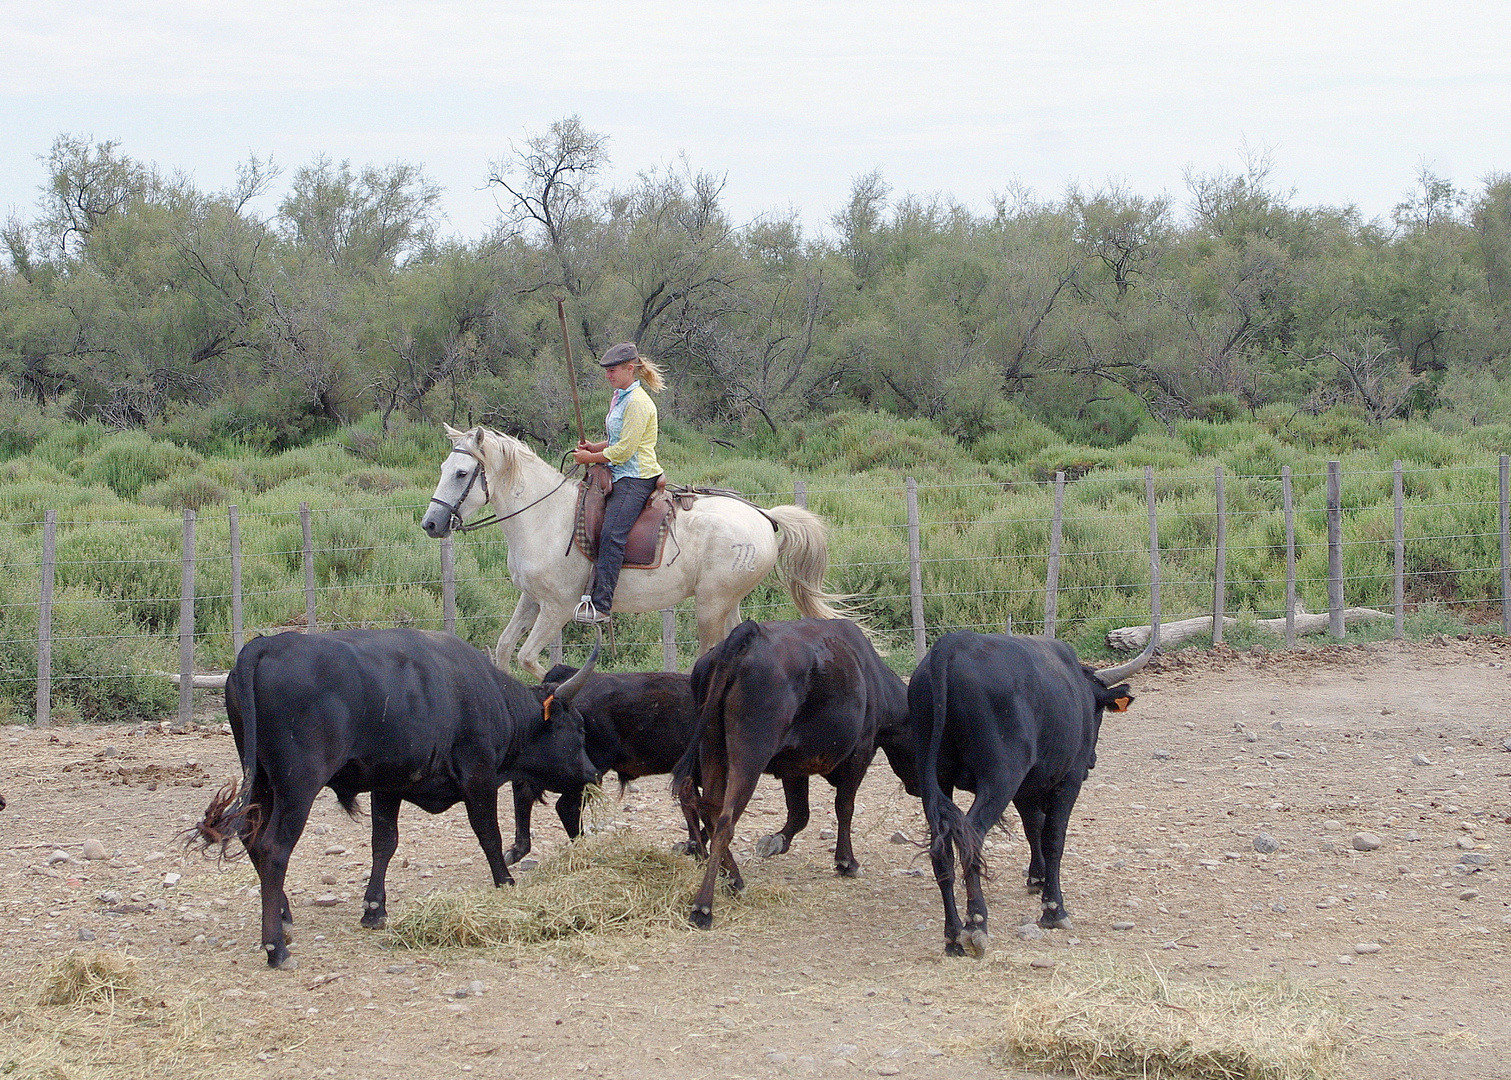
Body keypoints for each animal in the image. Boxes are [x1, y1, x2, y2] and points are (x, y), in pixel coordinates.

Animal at [196, 625, 601, 972]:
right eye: (578, 729)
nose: (593, 772)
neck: (488, 696)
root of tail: (266, 645)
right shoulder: (479, 776)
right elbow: (488, 834)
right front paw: (505, 880)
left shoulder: (387, 785)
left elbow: (384, 843)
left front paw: (374, 908)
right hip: (297, 786)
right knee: (273, 850)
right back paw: (276, 946)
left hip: (261, 782)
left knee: (251, 838)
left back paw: (283, 917)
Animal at [423, 425, 852, 670]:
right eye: (443, 469)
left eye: (461, 473)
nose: (431, 523)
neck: (544, 517)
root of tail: (763, 515)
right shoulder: (532, 600)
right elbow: (504, 648)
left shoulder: (558, 608)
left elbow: (529, 659)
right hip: (727, 602)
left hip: (710, 604)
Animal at [676, 622, 918, 936]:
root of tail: (748, 635)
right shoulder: (860, 753)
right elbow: (844, 808)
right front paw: (846, 862)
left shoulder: (794, 766)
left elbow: (800, 812)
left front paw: (776, 841)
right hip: (750, 751)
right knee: (725, 820)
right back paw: (704, 906)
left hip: (712, 748)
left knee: (710, 810)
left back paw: (735, 881)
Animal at [900, 628, 1136, 960]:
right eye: (1099, 711)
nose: (1092, 760)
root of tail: (952, 644)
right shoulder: (1068, 780)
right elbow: (1053, 838)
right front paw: (1053, 909)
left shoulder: (1027, 786)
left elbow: (1033, 826)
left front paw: (1036, 878)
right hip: (1001, 775)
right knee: (971, 835)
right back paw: (977, 925)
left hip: (933, 776)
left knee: (941, 847)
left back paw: (953, 934)